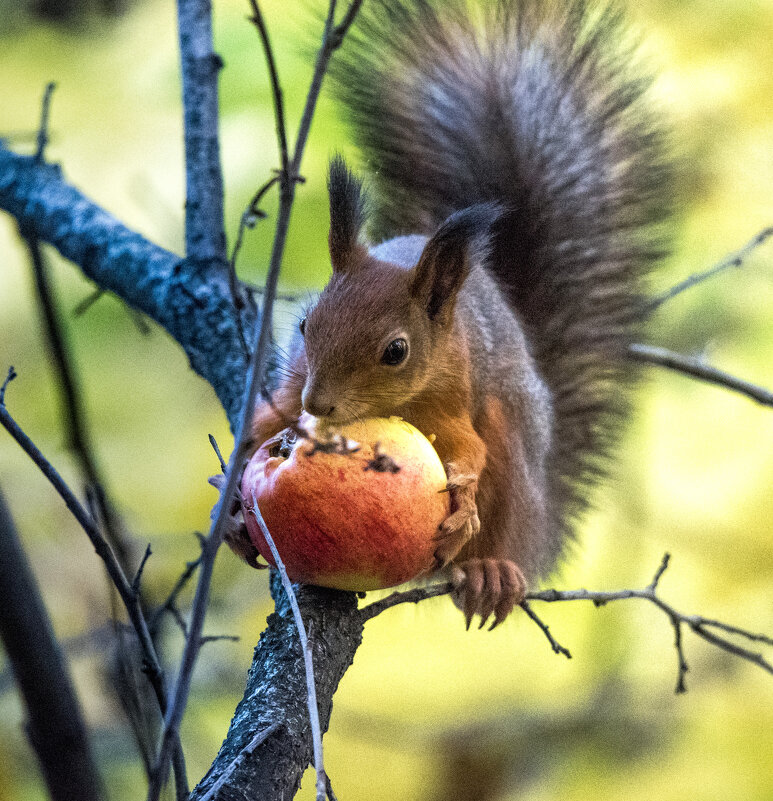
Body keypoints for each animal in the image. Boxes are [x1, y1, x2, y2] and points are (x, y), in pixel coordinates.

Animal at [223, 0, 668, 624]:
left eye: (397, 351)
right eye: (307, 325)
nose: (319, 405)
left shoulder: (454, 398)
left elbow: (468, 452)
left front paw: (462, 502)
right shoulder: (287, 391)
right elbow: (263, 423)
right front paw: (232, 510)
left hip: (513, 456)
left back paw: (489, 569)